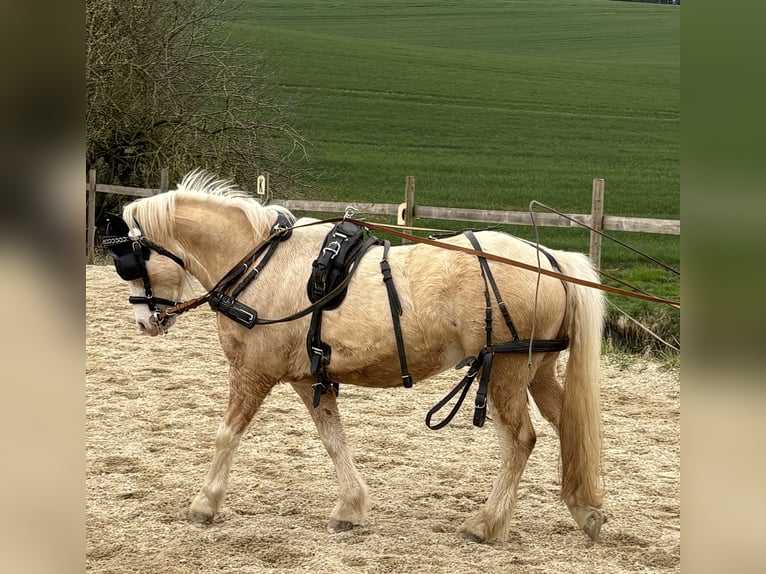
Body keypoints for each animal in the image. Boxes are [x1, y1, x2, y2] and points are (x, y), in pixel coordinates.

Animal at [103, 171, 606, 543]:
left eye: (128, 262)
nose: (145, 322)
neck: (259, 264)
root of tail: (549, 258)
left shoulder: (253, 372)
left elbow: (227, 435)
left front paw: (204, 504)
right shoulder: (308, 377)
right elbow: (333, 438)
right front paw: (350, 507)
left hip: (504, 370)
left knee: (520, 440)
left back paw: (486, 523)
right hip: (536, 370)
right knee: (568, 425)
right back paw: (585, 510)